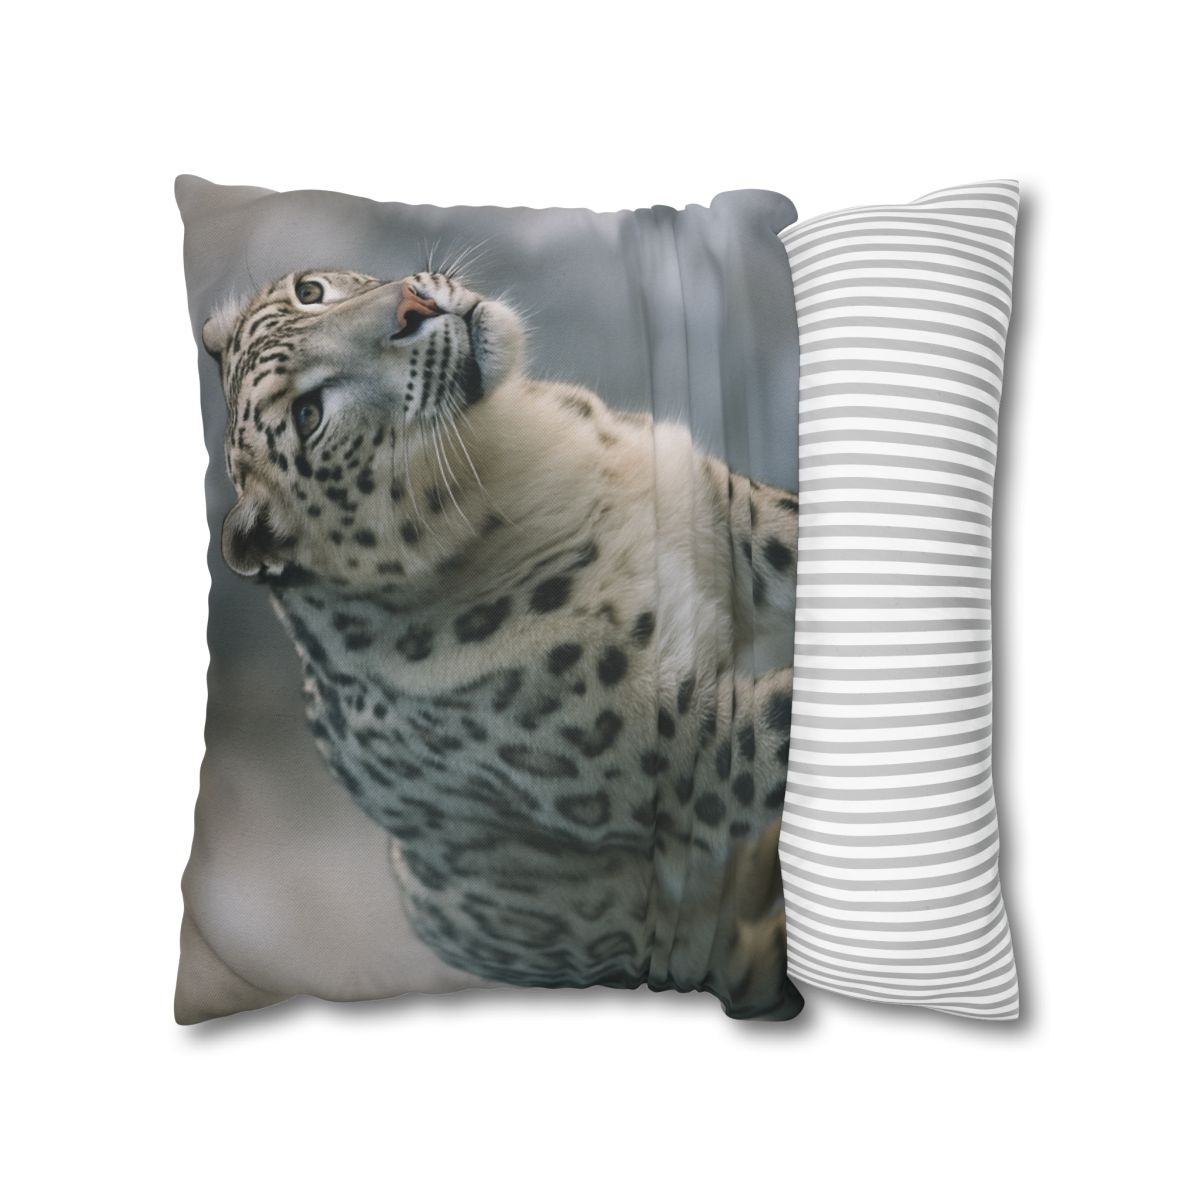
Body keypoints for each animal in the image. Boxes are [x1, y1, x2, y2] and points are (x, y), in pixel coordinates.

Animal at [202, 268, 804, 1019]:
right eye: (309, 415)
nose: (413, 307)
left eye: (309, 291)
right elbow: (794, 720)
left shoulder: (732, 517)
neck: (524, 463)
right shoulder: (694, 750)